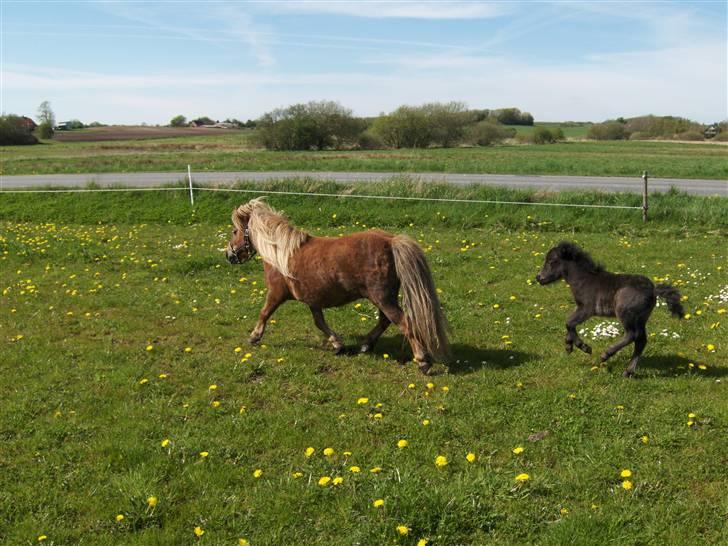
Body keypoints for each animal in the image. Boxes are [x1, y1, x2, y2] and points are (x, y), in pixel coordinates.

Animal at [225, 198, 450, 372]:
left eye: (235, 231)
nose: (229, 256)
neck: (281, 253)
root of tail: (391, 241)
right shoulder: (313, 300)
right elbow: (320, 322)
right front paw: (338, 344)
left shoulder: (276, 293)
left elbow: (264, 313)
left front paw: (254, 337)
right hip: (385, 298)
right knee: (385, 321)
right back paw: (365, 345)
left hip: (382, 298)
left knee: (404, 322)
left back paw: (422, 361)